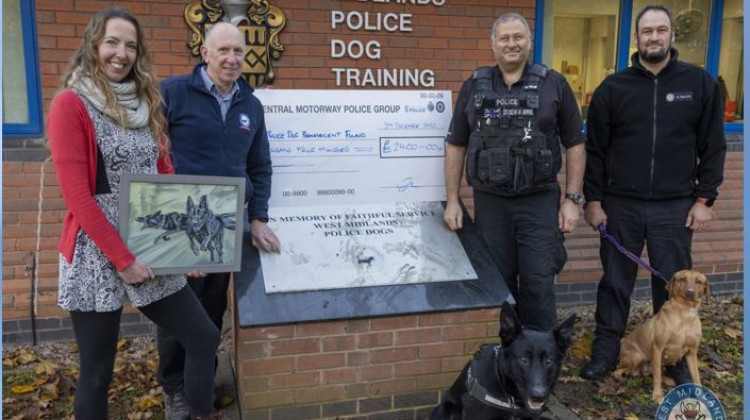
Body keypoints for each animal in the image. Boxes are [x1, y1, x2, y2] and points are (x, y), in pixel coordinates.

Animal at [612, 270, 708, 404]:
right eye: (682, 279)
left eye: (699, 281)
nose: (690, 292)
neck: (685, 313)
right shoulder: (657, 348)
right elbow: (656, 376)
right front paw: (657, 395)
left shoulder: (692, 352)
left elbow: (696, 376)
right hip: (636, 357)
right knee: (617, 371)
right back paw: (621, 380)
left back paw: (667, 379)